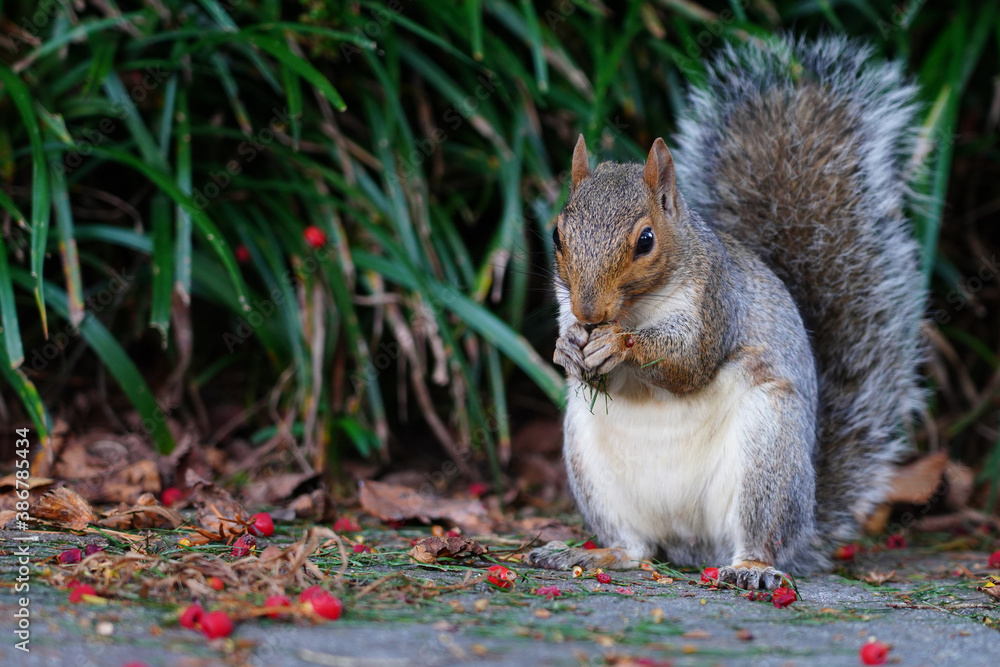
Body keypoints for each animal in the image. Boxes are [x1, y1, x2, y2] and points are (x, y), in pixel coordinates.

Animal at [526, 36, 927, 589]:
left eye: (645, 240)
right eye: (556, 234)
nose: (589, 315)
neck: (635, 307)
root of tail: (693, 545)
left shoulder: (717, 301)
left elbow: (690, 362)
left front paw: (618, 344)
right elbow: (587, 366)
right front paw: (568, 349)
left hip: (767, 453)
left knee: (757, 537)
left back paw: (753, 568)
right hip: (592, 470)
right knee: (635, 547)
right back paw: (591, 554)